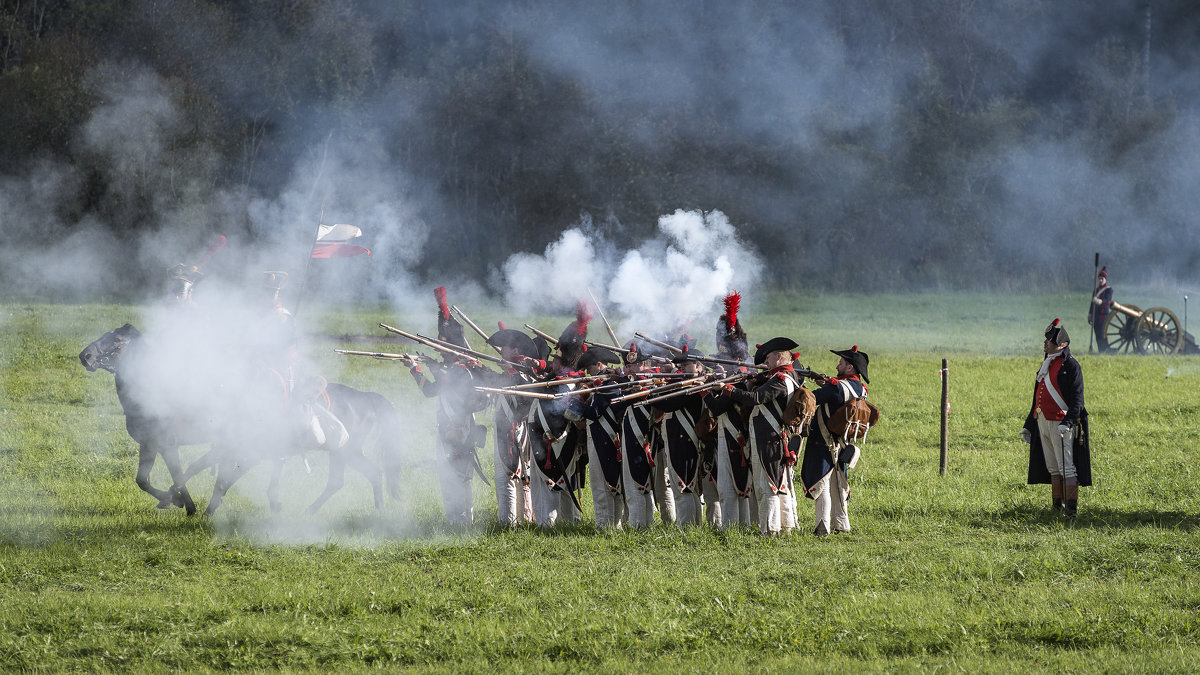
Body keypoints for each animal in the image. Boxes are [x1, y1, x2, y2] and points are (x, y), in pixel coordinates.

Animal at [83, 324, 408, 511]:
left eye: (117, 340)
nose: (84, 356)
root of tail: (367, 398)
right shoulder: (150, 445)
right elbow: (144, 480)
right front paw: (176, 500)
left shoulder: (169, 444)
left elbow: (182, 473)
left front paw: (184, 502)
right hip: (343, 452)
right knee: (359, 476)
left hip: (344, 450)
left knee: (355, 477)